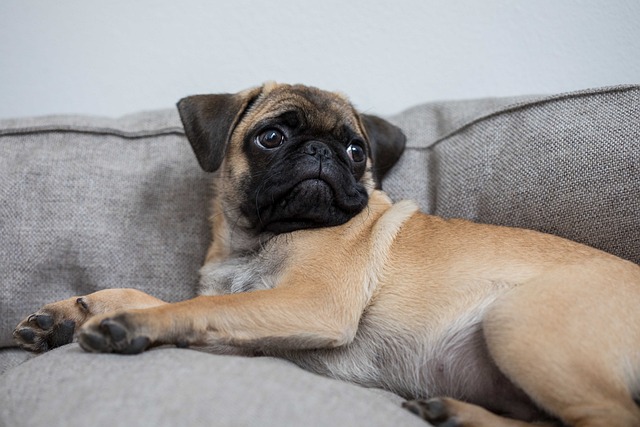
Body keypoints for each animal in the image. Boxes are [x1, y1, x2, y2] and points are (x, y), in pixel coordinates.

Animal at [13, 83, 640, 427]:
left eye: (356, 149)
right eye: (271, 137)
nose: (320, 151)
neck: (258, 241)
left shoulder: (308, 304)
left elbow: (187, 309)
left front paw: (127, 323)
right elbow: (155, 294)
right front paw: (69, 312)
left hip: (518, 320)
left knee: (610, 419)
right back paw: (454, 413)